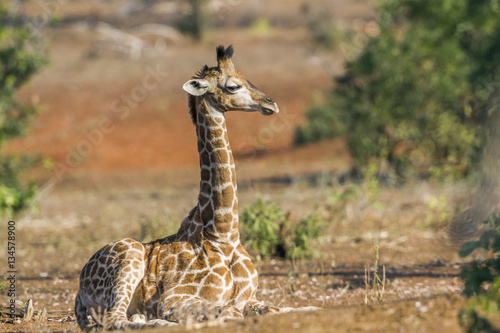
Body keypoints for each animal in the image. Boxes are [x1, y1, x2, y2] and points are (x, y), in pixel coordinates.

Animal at [73, 44, 304, 330]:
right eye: (233, 86)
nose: (271, 103)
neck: (224, 233)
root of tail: (78, 288)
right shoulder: (174, 298)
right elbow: (230, 312)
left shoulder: (249, 298)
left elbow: (281, 309)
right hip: (129, 254)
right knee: (116, 320)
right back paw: (161, 323)